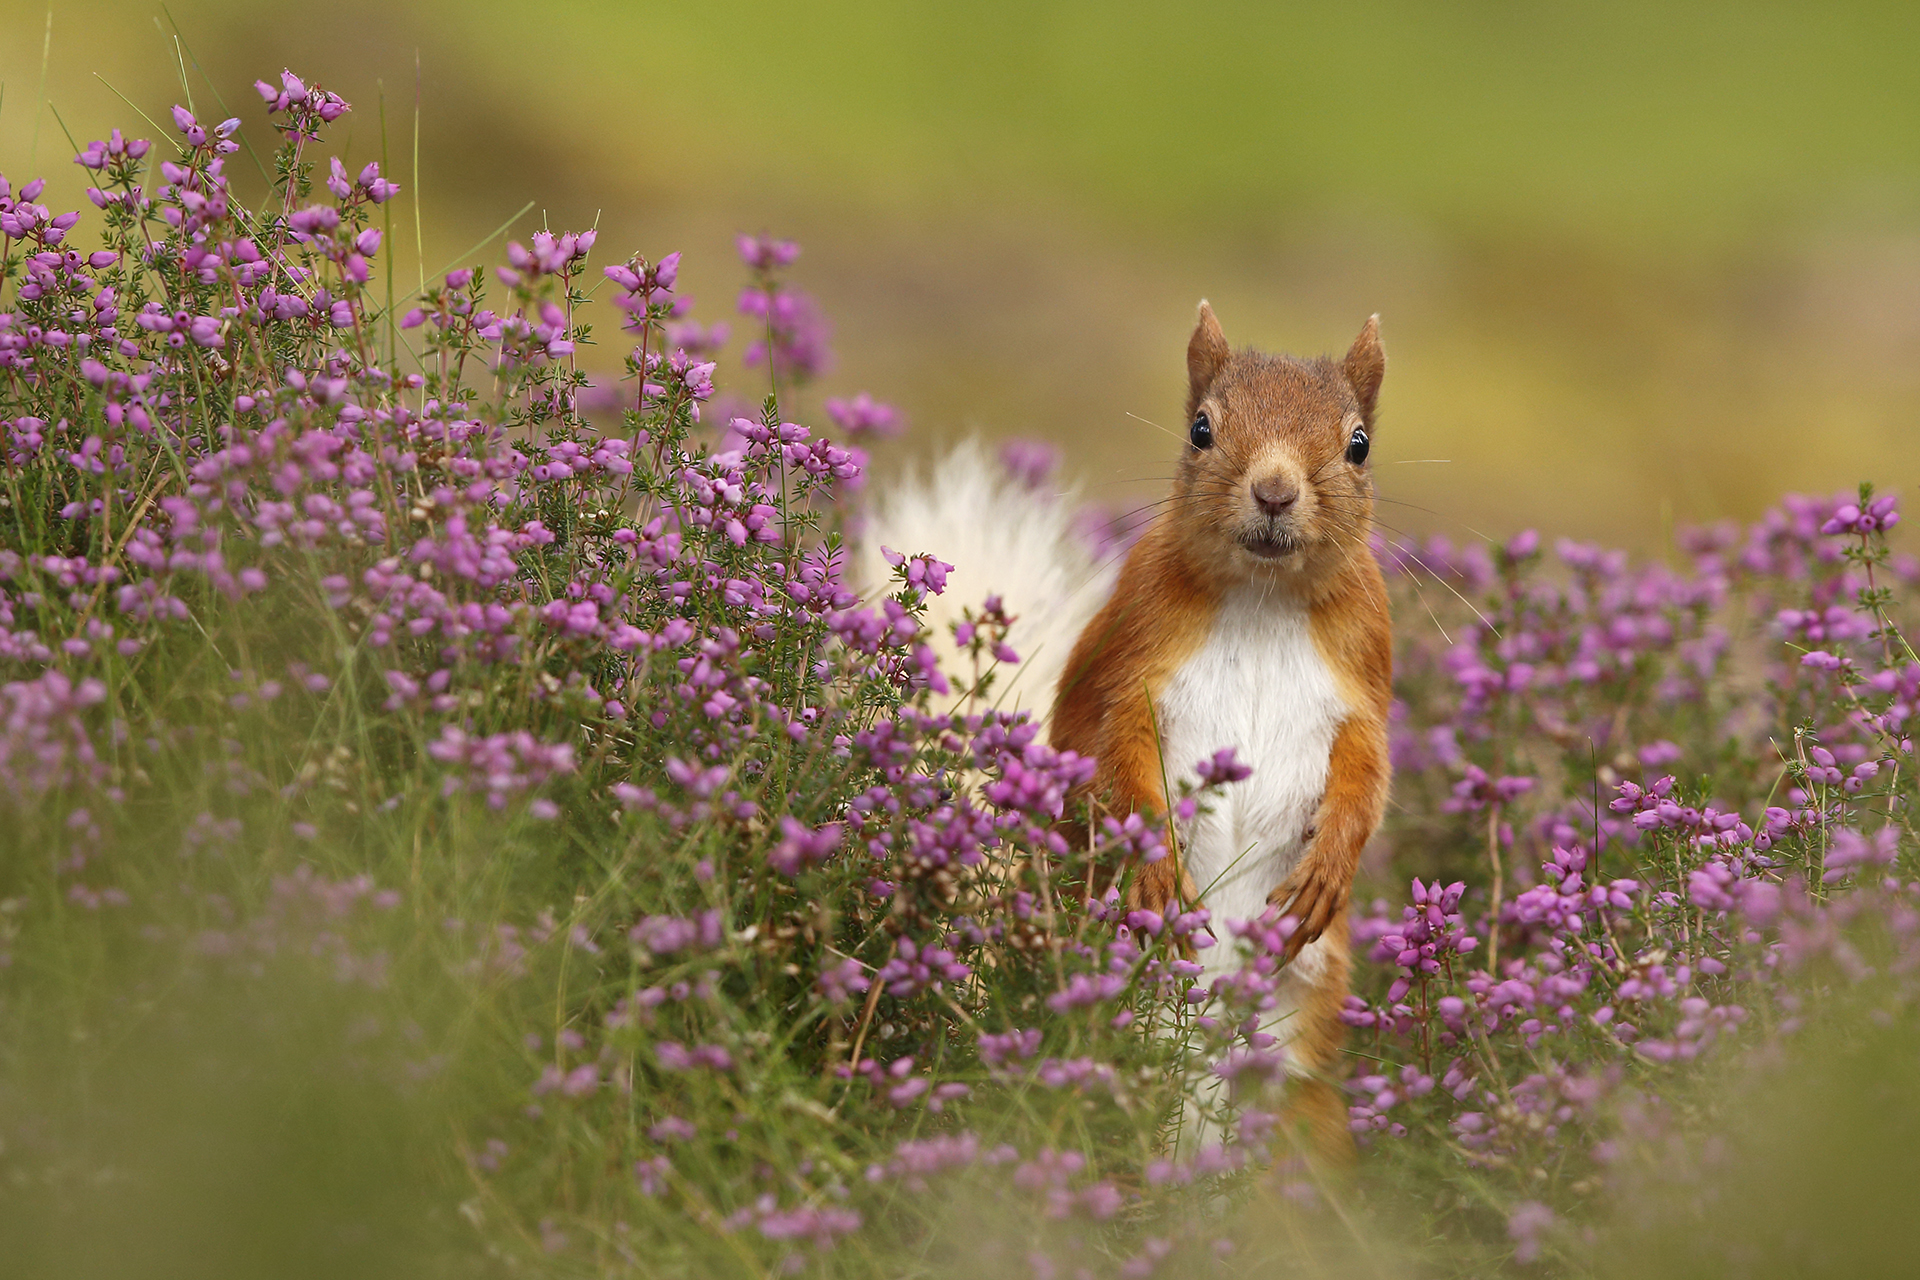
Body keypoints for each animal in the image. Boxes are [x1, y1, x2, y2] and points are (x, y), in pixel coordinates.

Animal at [1052, 303, 1397, 1159]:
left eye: (1358, 444)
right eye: (1202, 429)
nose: (1273, 490)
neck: (1264, 595)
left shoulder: (1365, 684)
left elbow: (1367, 779)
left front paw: (1326, 871)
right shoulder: (1129, 665)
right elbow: (1111, 756)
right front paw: (1154, 871)